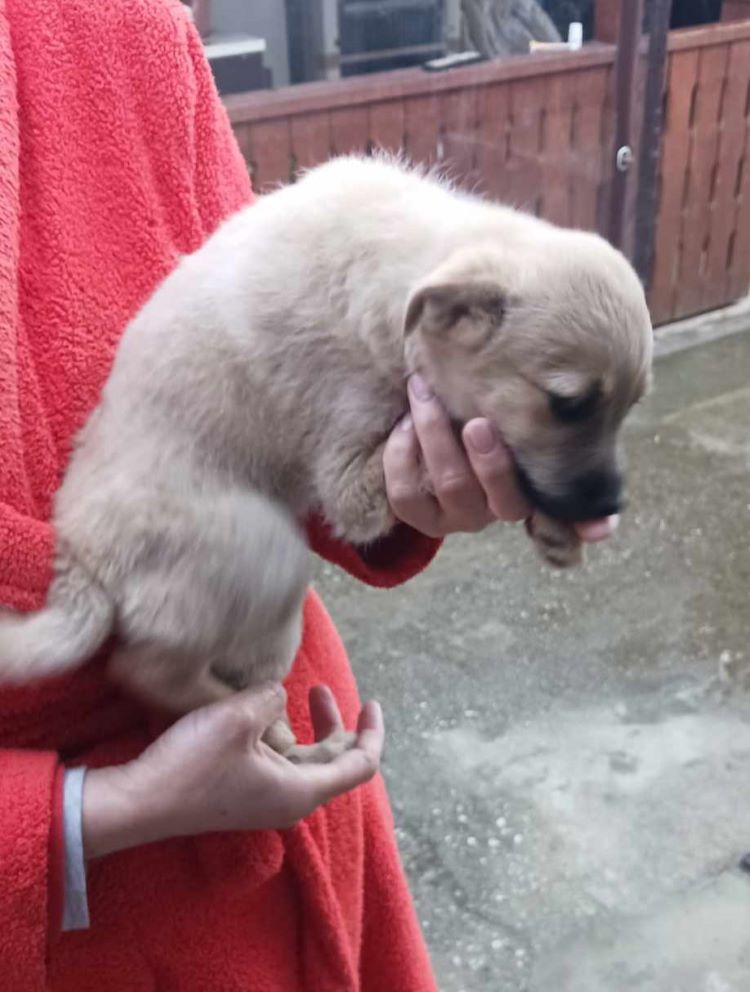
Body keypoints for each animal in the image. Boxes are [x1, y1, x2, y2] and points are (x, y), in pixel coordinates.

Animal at [0, 153, 652, 760]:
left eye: (631, 405)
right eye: (568, 404)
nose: (610, 503)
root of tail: (82, 559)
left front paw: (556, 531)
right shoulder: (351, 468)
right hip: (266, 555)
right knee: (147, 672)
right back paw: (266, 732)